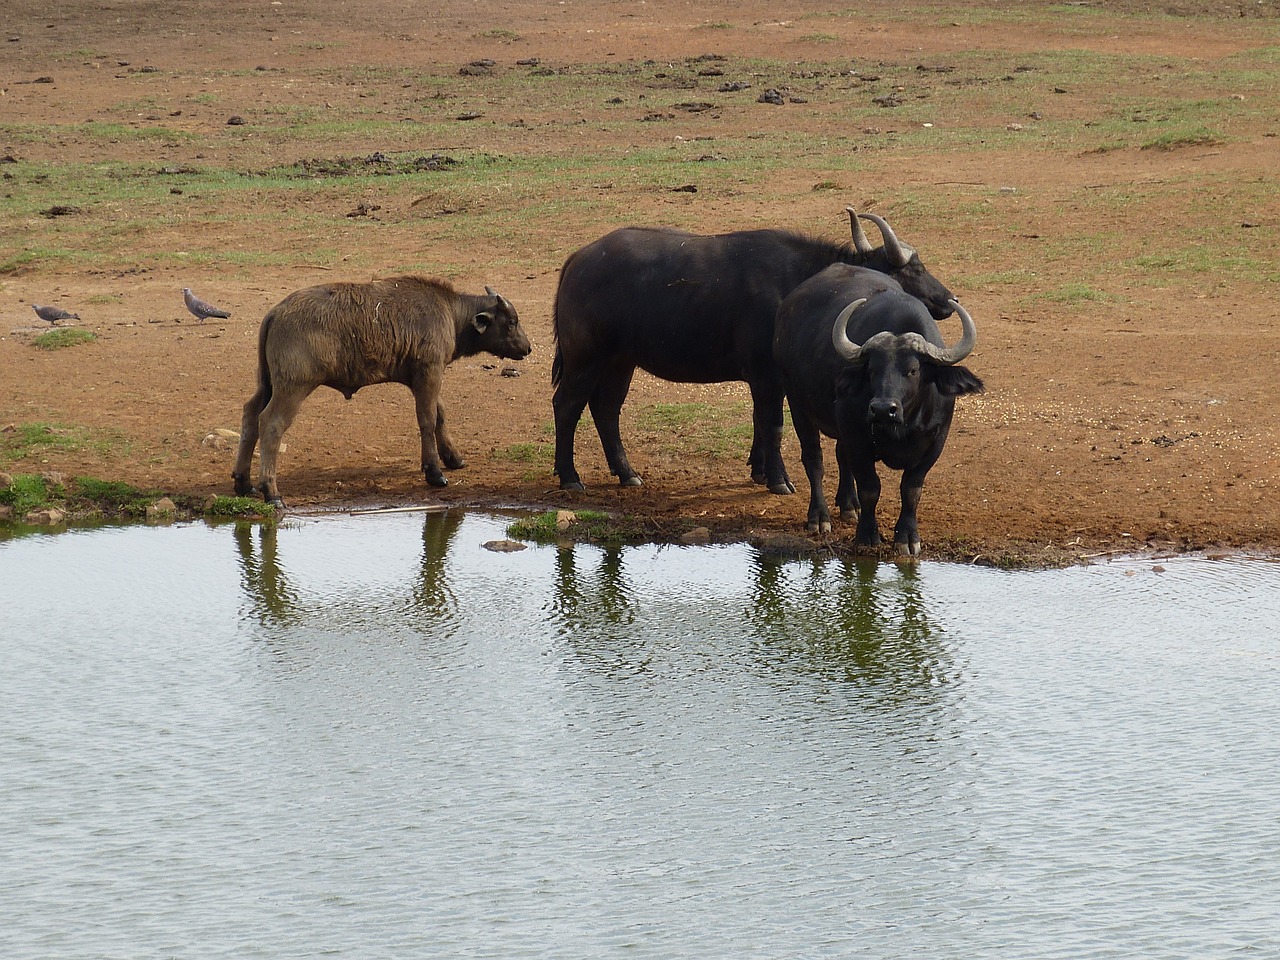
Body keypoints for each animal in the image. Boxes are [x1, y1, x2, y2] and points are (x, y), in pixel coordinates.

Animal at [232, 273, 527, 506]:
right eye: (512, 322)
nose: (528, 348)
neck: (450, 312)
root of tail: (276, 313)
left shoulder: (422, 378)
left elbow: (440, 414)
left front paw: (454, 458)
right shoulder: (430, 372)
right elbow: (427, 419)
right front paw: (434, 472)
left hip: (267, 385)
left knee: (250, 415)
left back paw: (243, 482)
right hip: (292, 388)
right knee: (271, 424)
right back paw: (272, 492)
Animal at [550, 208, 952, 496]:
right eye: (913, 270)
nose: (948, 299)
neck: (797, 281)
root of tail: (578, 259)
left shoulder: (767, 380)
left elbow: (759, 421)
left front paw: (759, 470)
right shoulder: (767, 376)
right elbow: (773, 424)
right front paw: (778, 480)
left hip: (620, 361)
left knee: (606, 409)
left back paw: (627, 473)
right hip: (585, 359)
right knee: (567, 405)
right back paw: (570, 476)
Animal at [773, 263, 983, 555]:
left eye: (913, 370)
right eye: (872, 370)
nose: (883, 409)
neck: (903, 425)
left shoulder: (936, 441)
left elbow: (911, 489)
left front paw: (907, 537)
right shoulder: (857, 436)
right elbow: (870, 488)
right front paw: (868, 535)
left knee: (840, 455)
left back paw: (849, 505)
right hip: (797, 403)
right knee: (814, 459)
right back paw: (820, 517)